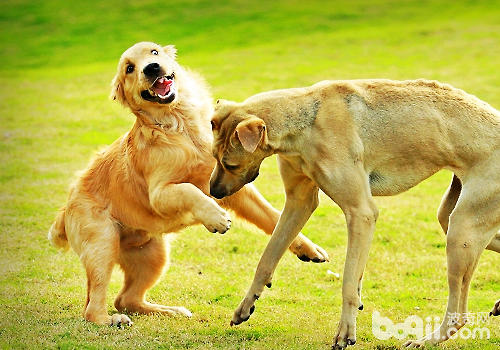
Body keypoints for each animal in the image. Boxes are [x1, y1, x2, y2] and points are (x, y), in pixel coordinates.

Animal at [47, 43, 328, 328]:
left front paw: (309, 248)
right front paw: (216, 218)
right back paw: (113, 320)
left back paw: (169, 311)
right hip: (103, 245)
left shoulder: (234, 188)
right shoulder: (159, 193)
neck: (180, 127)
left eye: (154, 52)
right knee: (94, 307)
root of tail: (66, 208)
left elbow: (272, 216)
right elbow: (189, 190)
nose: (151, 69)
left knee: (126, 298)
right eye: (129, 68)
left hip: (153, 256)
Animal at [209, 80, 498, 350]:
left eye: (230, 164)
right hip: (454, 219)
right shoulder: (298, 204)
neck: (305, 119)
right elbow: (267, 259)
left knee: (458, 315)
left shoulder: (361, 213)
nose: (213, 192)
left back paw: (426, 340)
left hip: (462, 230)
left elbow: (348, 280)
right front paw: (245, 306)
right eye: (214, 156)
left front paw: (346, 331)